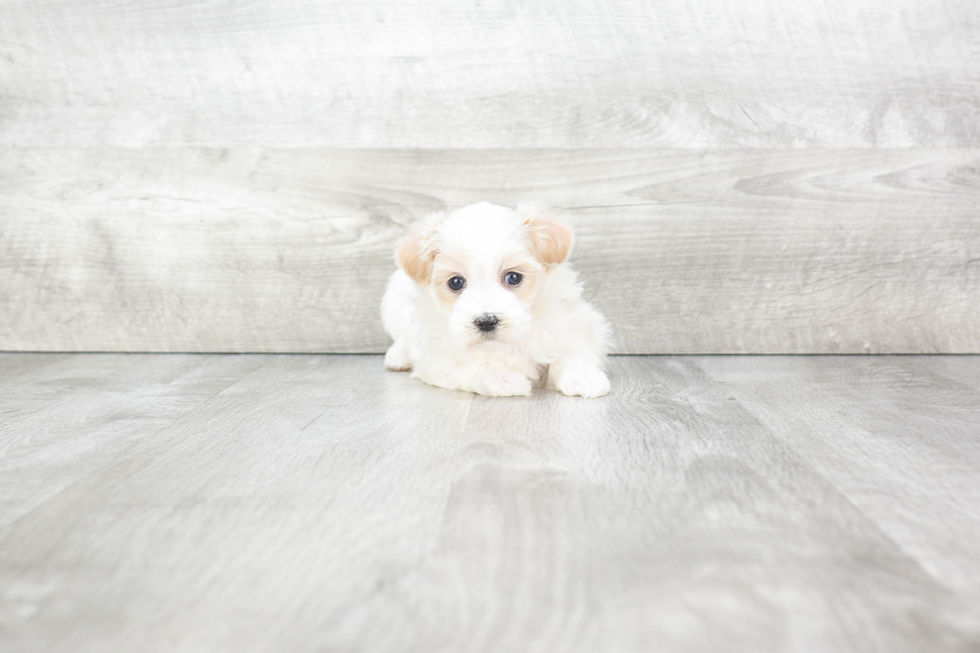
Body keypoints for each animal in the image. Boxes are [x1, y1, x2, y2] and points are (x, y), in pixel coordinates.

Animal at [378, 202, 608, 398]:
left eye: (514, 277)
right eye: (455, 282)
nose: (486, 321)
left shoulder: (575, 326)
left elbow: (573, 353)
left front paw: (584, 378)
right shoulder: (435, 357)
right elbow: (466, 365)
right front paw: (501, 378)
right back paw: (397, 357)